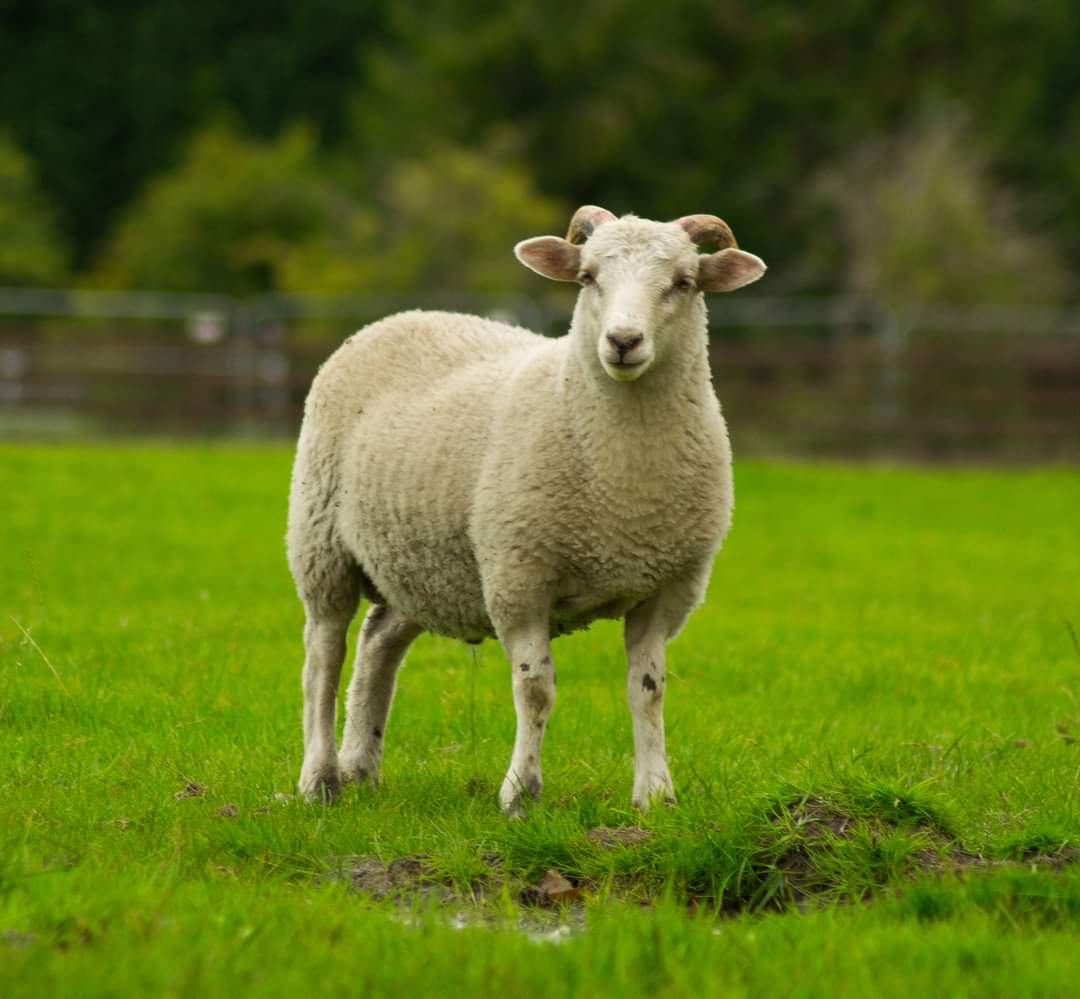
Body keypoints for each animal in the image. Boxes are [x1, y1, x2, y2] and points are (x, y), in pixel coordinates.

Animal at [286, 206, 766, 814]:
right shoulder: (518, 578)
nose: (623, 341)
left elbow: (649, 691)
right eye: (587, 277)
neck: (623, 493)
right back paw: (319, 779)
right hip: (321, 542)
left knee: (378, 644)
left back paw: (361, 768)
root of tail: (397, 317)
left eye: (684, 282)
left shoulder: (666, 590)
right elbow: (535, 689)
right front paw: (520, 792)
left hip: (424, 563)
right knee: (322, 658)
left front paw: (655, 794)